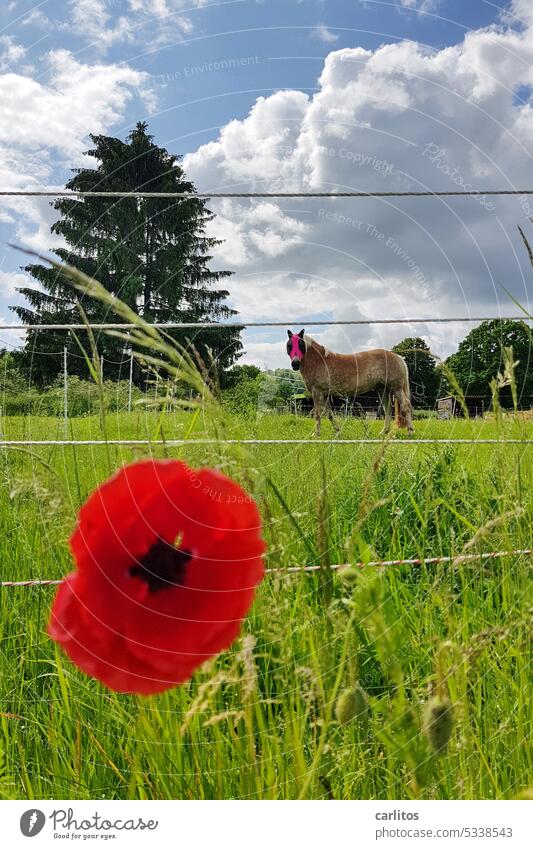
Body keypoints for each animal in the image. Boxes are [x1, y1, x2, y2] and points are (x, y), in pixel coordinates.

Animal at [284, 328, 414, 438]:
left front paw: (316, 435)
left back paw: (410, 432)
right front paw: (338, 432)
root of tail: (398, 357)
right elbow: (329, 414)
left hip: (396, 388)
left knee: (405, 406)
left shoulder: (317, 392)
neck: (319, 361)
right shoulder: (324, 394)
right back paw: (383, 432)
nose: (295, 364)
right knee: (387, 409)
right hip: (382, 389)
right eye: (289, 345)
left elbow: (317, 414)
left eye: (301, 344)